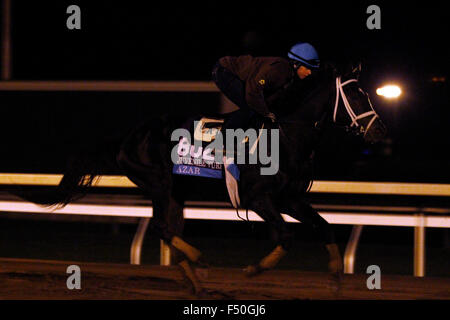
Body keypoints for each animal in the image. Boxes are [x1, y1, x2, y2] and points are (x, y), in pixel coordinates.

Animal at [14, 62, 386, 296]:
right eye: (356, 96)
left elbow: (325, 227)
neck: (287, 134)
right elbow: (285, 235)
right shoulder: (257, 198)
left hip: (173, 192)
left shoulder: (290, 197)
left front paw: (336, 279)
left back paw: (196, 282)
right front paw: (253, 270)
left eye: (366, 94)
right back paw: (200, 261)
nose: (378, 131)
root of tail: (127, 138)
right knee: (162, 228)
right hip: (159, 184)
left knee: (168, 230)